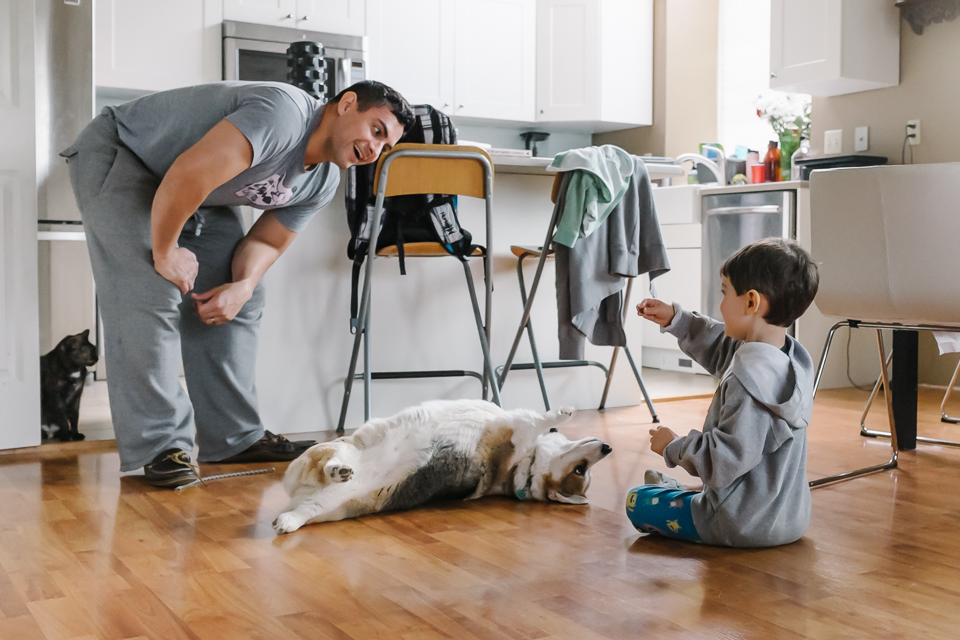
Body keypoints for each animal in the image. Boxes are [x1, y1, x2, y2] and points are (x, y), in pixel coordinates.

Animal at [274, 400, 612, 528]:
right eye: (582, 469)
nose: (608, 448)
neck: (525, 469)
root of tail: (299, 493)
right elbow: (542, 422)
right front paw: (563, 416)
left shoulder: (518, 428)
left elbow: (538, 420)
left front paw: (561, 414)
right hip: (336, 457)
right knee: (329, 463)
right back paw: (338, 471)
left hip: (331, 501)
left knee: (309, 503)